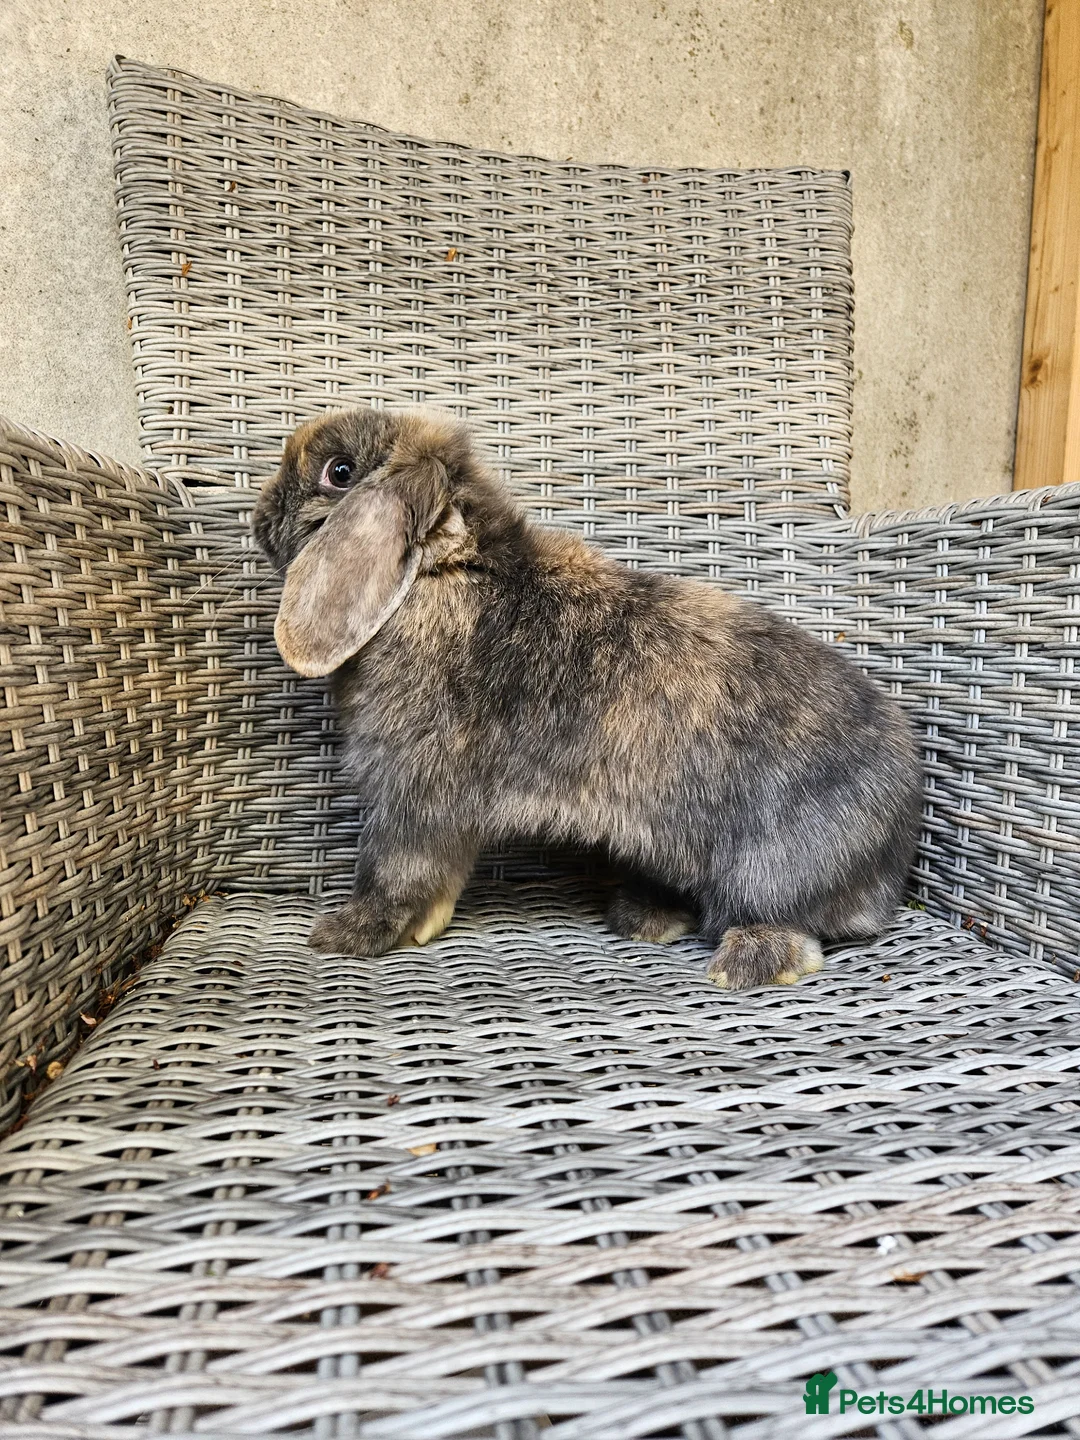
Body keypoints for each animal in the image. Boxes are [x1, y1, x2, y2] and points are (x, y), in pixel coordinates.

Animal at [252, 405, 923, 990]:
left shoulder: (415, 795)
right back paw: (646, 918)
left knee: (790, 930)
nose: (258, 517)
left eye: (338, 472)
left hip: (767, 869)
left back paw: (740, 963)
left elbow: (395, 870)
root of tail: (893, 854)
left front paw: (344, 935)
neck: (440, 576)